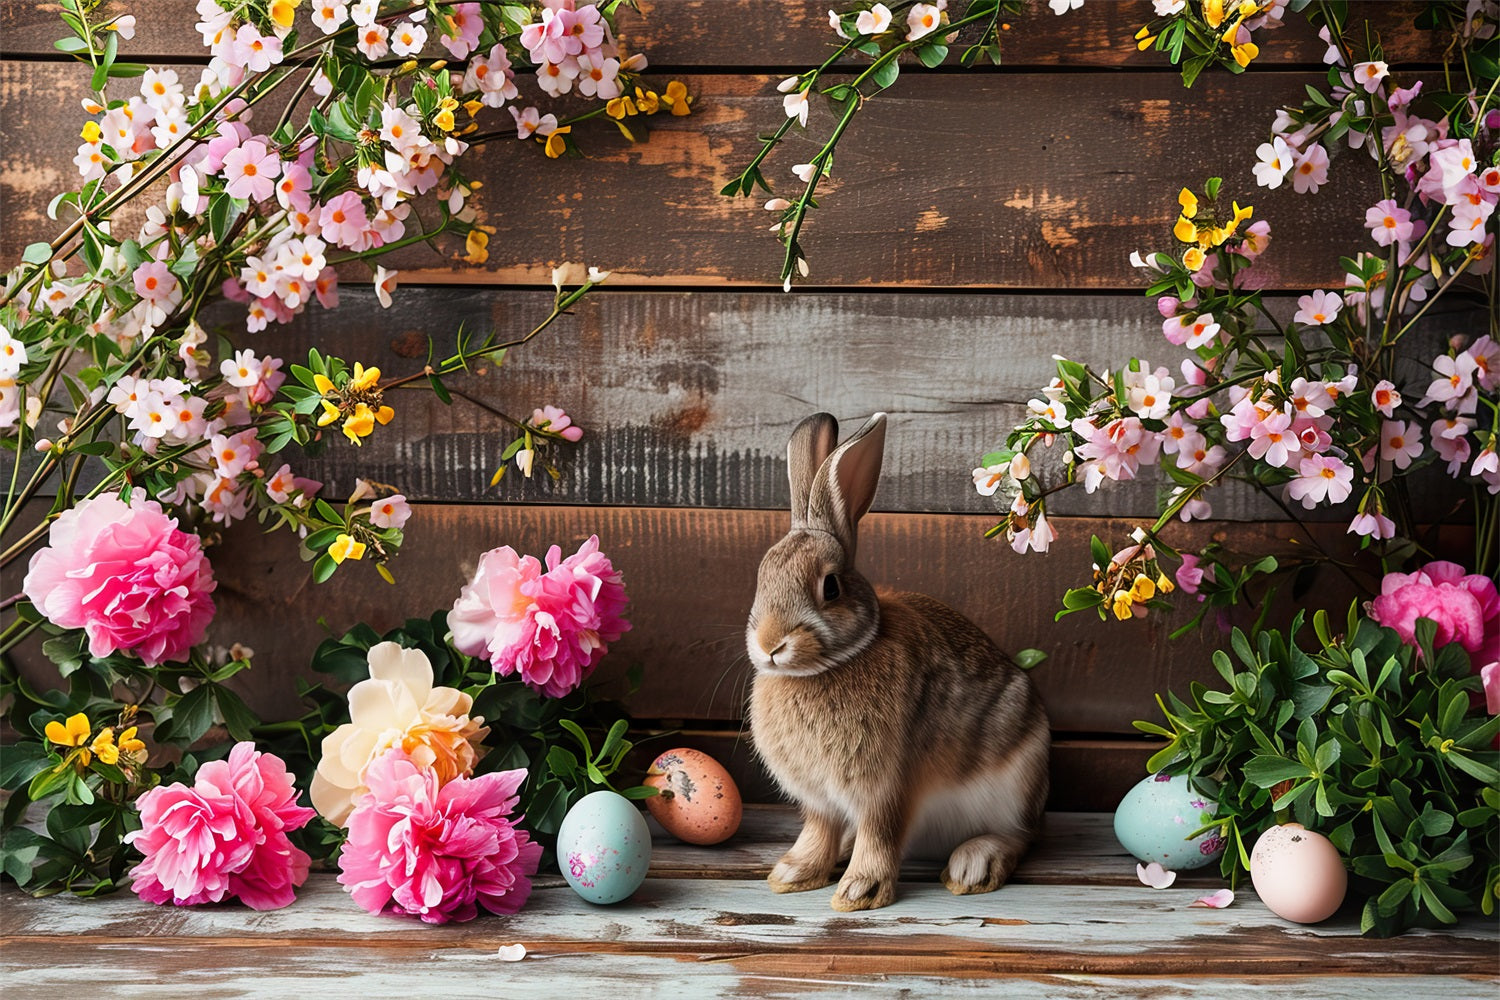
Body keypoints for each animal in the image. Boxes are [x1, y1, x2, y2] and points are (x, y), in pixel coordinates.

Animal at [744, 410, 1050, 911]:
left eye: (830, 587)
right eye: (761, 578)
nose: (770, 644)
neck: (829, 666)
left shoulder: (888, 789)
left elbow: (881, 834)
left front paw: (859, 891)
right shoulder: (820, 801)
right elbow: (818, 831)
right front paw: (793, 873)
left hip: (1018, 782)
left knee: (1021, 836)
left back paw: (974, 864)